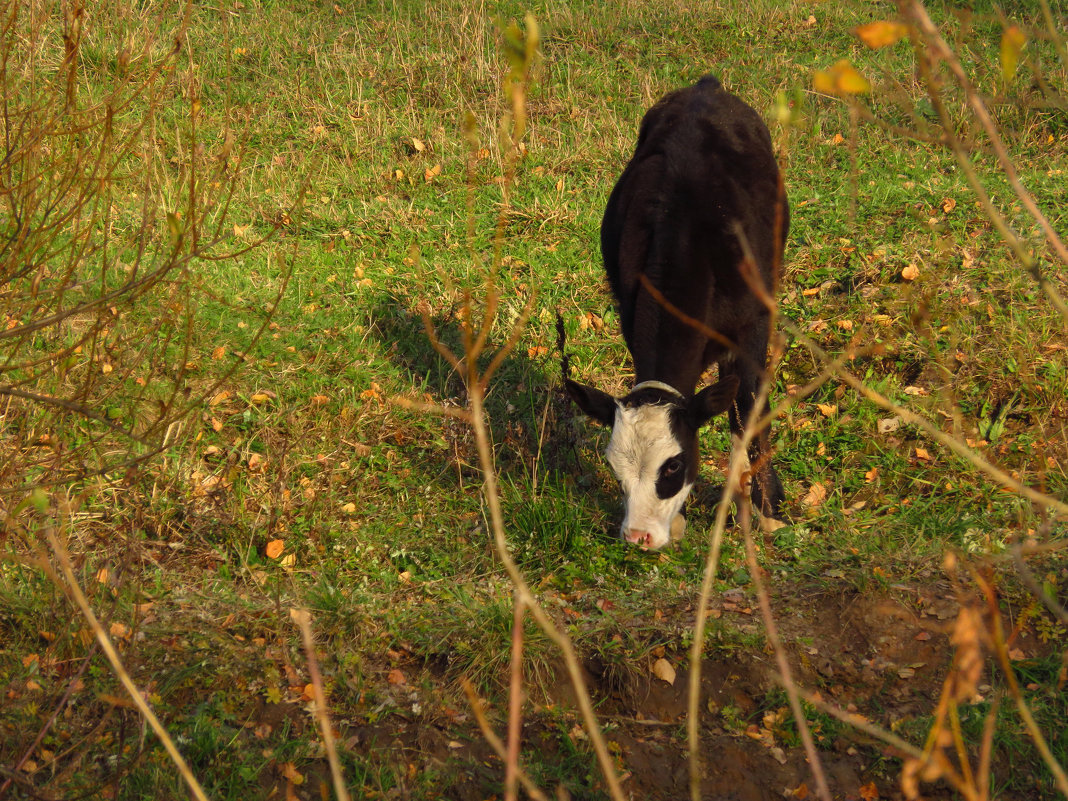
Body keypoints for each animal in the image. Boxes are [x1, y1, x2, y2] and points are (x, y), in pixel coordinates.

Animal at [563, 75, 790, 551]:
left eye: (674, 465)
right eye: (614, 469)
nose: (638, 536)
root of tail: (705, 86)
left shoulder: (753, 325)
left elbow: (749, 407)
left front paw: (767, 509)